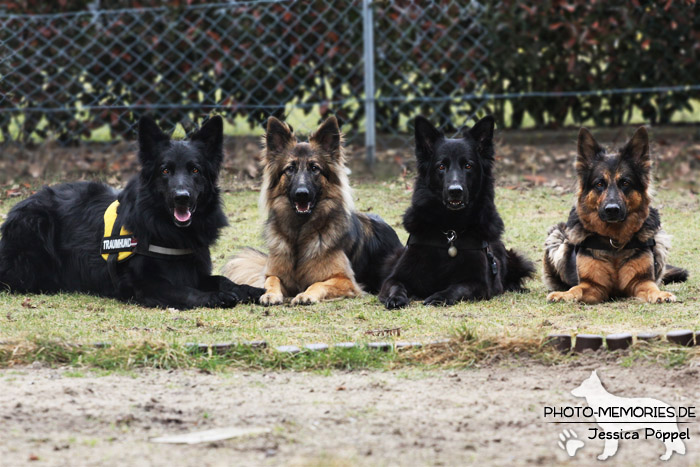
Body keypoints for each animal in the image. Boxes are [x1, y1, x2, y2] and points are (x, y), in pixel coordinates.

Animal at [0, 115, 262, 308]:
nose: (182, 198)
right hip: (35, 229)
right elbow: (183, 290)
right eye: (165, 170)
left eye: (195, 170)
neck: (166, 228)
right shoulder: (144, 283)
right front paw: (214, 297)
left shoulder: (195, 271)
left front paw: (253, 290)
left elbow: (222, 279)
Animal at [221, 117, 402, 308]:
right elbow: (271, 280)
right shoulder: (274, 273)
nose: (302, 194)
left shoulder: (346, 280)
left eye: (315, 168)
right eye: (290, 169)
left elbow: (319, 283)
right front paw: (270, 294)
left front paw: (305, 295)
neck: (300, 233)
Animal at [380, 115, 532, 308]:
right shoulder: (395, 277)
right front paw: (395, 298)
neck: (450, 230)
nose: (455, 191)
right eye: (441, 166)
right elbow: (395, 285)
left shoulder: (479, 284)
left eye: (468, 166)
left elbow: (458, 288)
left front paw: (439, 296)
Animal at [544, 126, 688, 306]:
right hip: (557, 237)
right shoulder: (593, 286)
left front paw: (661, 294)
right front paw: (563, 294)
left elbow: (652, 288)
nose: (612, 210)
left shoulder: (641, 282)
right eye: (599, 184)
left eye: (625, 183)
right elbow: (576, 289)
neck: (614, 241)